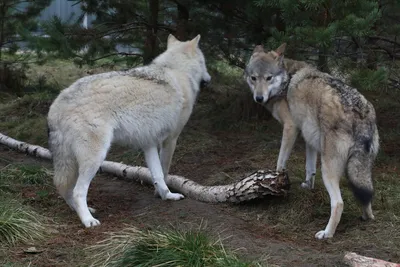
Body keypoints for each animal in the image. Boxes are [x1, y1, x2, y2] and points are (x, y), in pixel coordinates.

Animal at [47, 34, 212, 228]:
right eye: (204, 62)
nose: (209, 78)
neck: (175, 70)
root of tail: (58, 104)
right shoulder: (170, 140)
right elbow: (164, 171)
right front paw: (165, 194)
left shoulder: (149, 143)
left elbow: (157, 174)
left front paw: (166, 195)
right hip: (95, 159)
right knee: (78, 192)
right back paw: (88, 220)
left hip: (70, 162)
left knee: (63, 187)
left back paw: (81, 211)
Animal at [245, 43, 380, 239]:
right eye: (254, 78)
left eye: (269, 78)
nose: (259, 98)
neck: (287, 80)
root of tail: (361, 113)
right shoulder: (309, 136)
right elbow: (309, 168)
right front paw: (308, 186)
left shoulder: (291, 129)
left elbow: (280, 162)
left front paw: (274, 183)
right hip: (358, 169)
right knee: (366, 195)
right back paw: (366, 217)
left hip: (329, 168)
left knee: (338, 203)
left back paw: (327, 234)